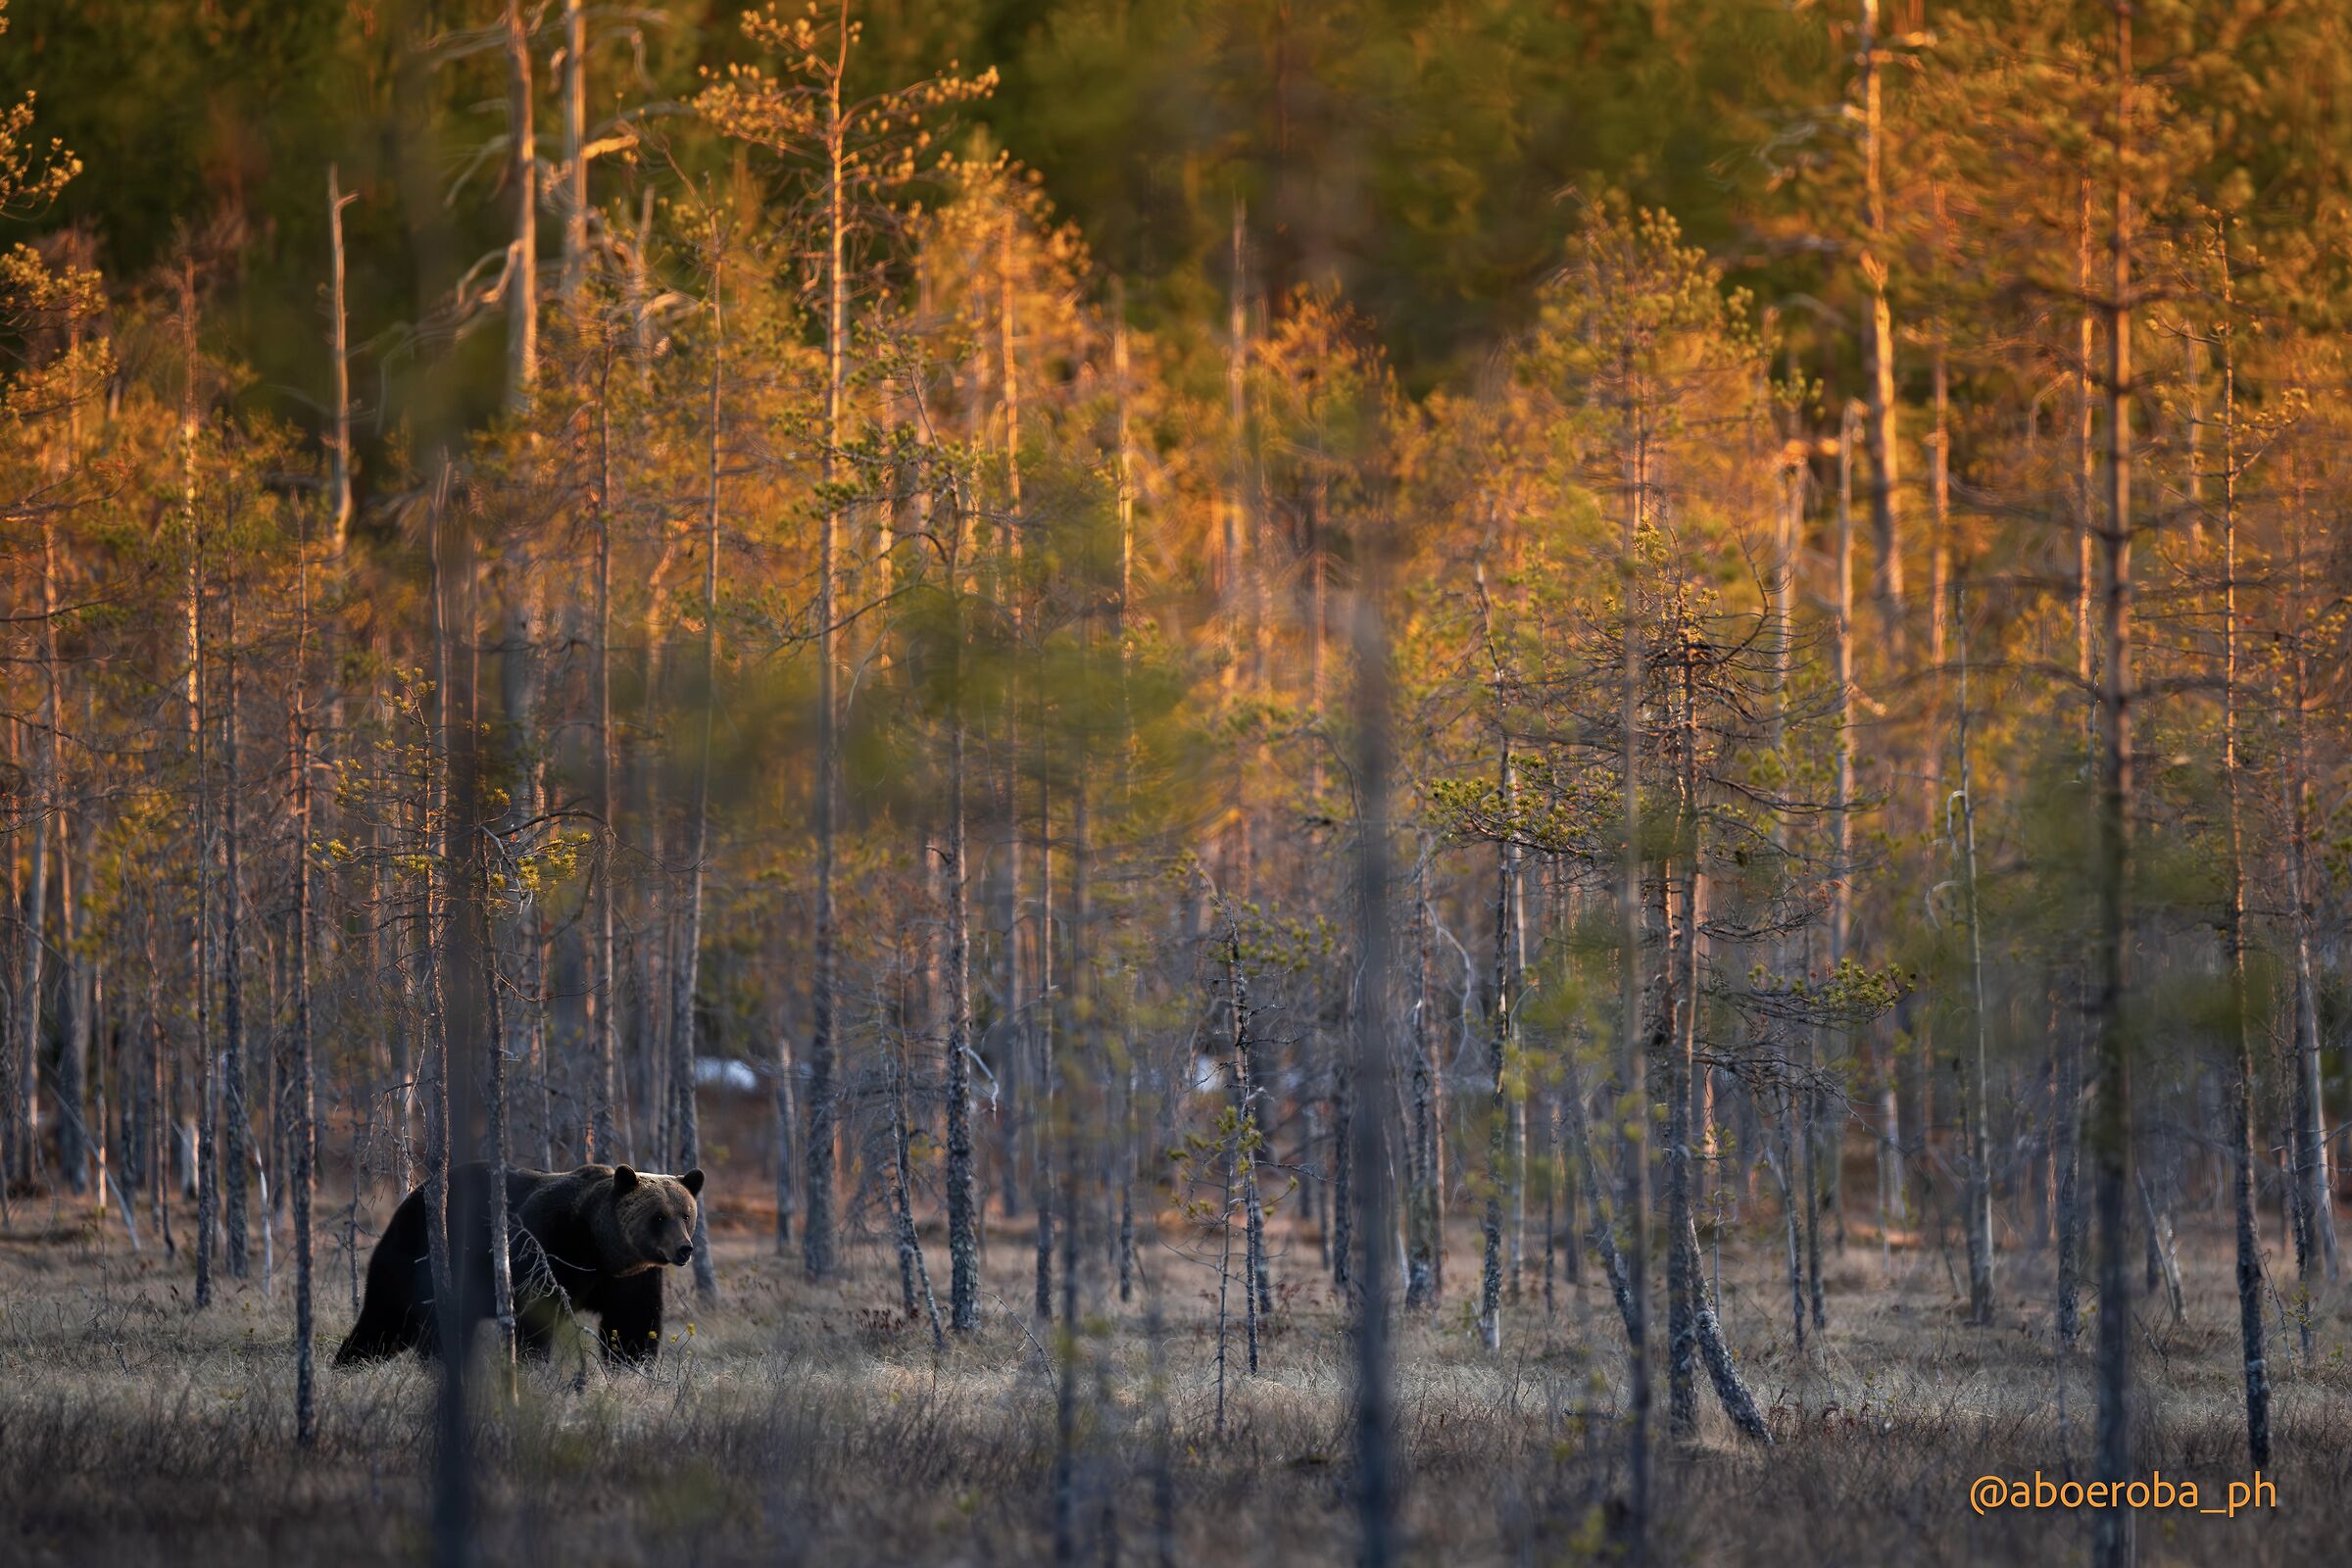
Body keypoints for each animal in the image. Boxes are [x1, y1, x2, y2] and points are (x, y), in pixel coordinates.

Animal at [334, 1162, 705, 1367]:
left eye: (686, 1214)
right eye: (660, 1217)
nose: (684, 1249)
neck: (600, 1248)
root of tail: (416, 1192)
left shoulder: (630, 1278)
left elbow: (632, 1324)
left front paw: (633, 1365)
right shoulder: (550, 1244)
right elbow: (537, 1315)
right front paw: (534, 1367)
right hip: (417, 1256)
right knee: (388, 1316)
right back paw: (351, 1361)